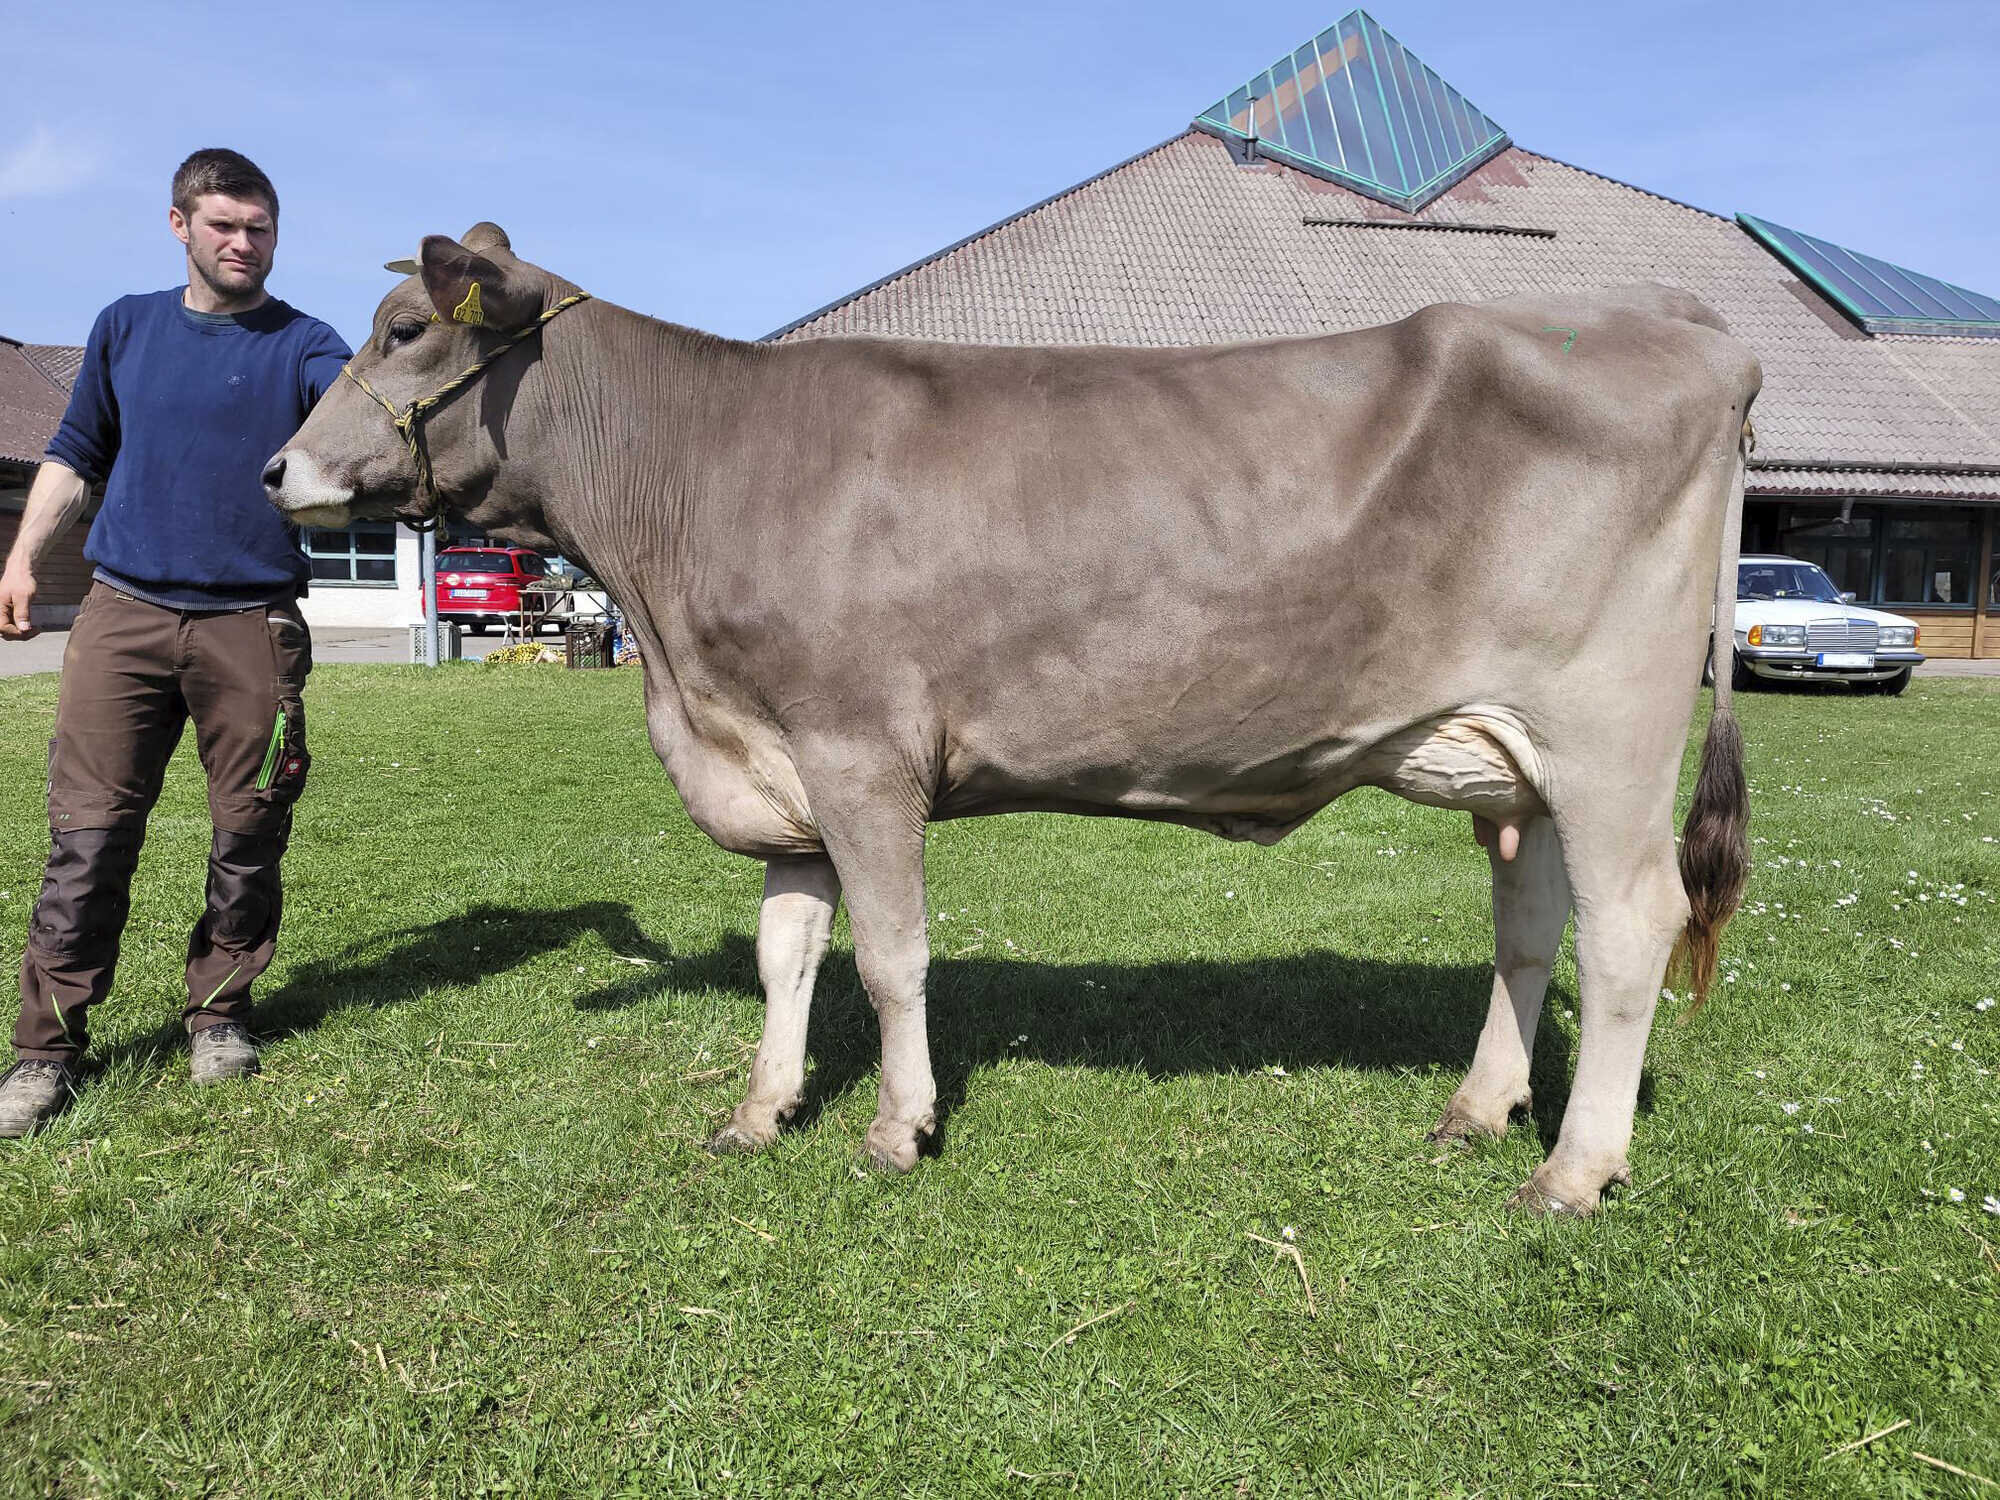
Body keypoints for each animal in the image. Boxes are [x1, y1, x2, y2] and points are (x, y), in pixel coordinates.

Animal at [262, 220, 1752, 1208]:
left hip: (1609, 736)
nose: (277, 471)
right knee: (1530, 928)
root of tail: (1678, 319)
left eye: (406, 333)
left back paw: (1575, 1167)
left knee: (1633, 925)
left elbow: (888, 959)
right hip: (1519, 762)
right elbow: (788, 955)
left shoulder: (860, 753)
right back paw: (1482, 1110)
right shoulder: (784, 765)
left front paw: (896, 1128)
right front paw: (761, 1108)